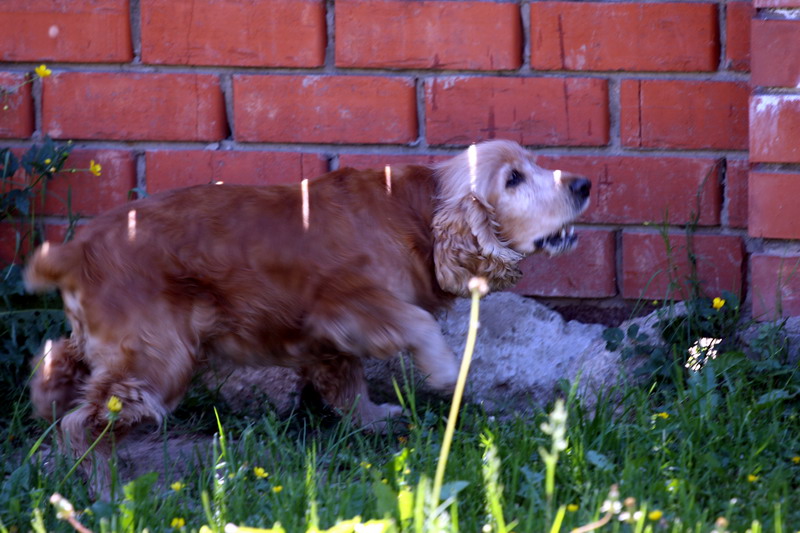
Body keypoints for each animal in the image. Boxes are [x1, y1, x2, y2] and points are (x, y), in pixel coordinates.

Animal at [25, 139, 592, 472]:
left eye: (536, 163)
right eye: (513, 179)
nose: (584, 183)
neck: (419, 213)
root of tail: (76, 248)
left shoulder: (329, 342)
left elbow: (348, 384)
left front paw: (373, 419)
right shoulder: (346, 302)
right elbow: (417, 322)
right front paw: (445, 372)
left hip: (114, 344)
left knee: (59, 358)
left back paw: (46, 402)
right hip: (159, 356)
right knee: (85, 421)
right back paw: (100, 478)